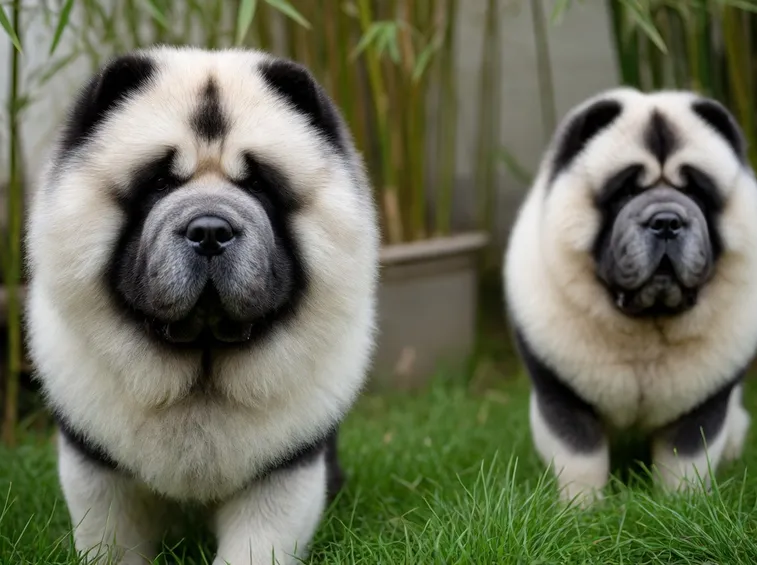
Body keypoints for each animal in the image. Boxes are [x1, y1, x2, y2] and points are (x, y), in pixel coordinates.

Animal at [24, 45, 379, 564]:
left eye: (258, 186)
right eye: (157, 183)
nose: (210, 231)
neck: (202, 373)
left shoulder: (283, 472)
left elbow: (258, 542)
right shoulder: (96, 466)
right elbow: (110, 538)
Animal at [503, 87, 757, 504]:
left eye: (695, 191)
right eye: (625, 192)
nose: (667, 221)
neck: (647, 325)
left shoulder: (703, 403)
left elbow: (686, 458)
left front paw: (681, 505)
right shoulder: (562, 395)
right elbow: (580, 455)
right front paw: (581, 508)